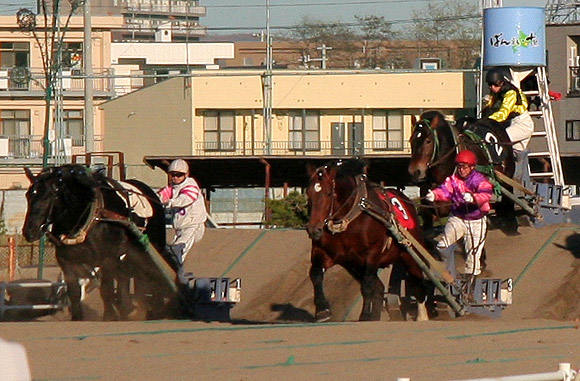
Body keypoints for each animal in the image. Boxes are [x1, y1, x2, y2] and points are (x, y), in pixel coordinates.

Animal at [22, 165, 178, 320]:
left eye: (49, 196)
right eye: (28, 195)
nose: (29, 231)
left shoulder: (107, 259)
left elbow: (106, 290)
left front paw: (109, 316)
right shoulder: (67, 262)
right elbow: (74, 294)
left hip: (153, 247)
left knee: (153, 274)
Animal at [308, 157, 430, 320]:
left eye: (328, 193)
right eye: (308, 193)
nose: (313, 229)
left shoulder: (372, 253)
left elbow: (367, 285)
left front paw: (365, 315)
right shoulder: (324, 251)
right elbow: (315, 274)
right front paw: (322, 308)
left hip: (409, 254)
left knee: (418, 282)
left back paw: (422, 316)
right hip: (353, 264)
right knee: (379, 287)